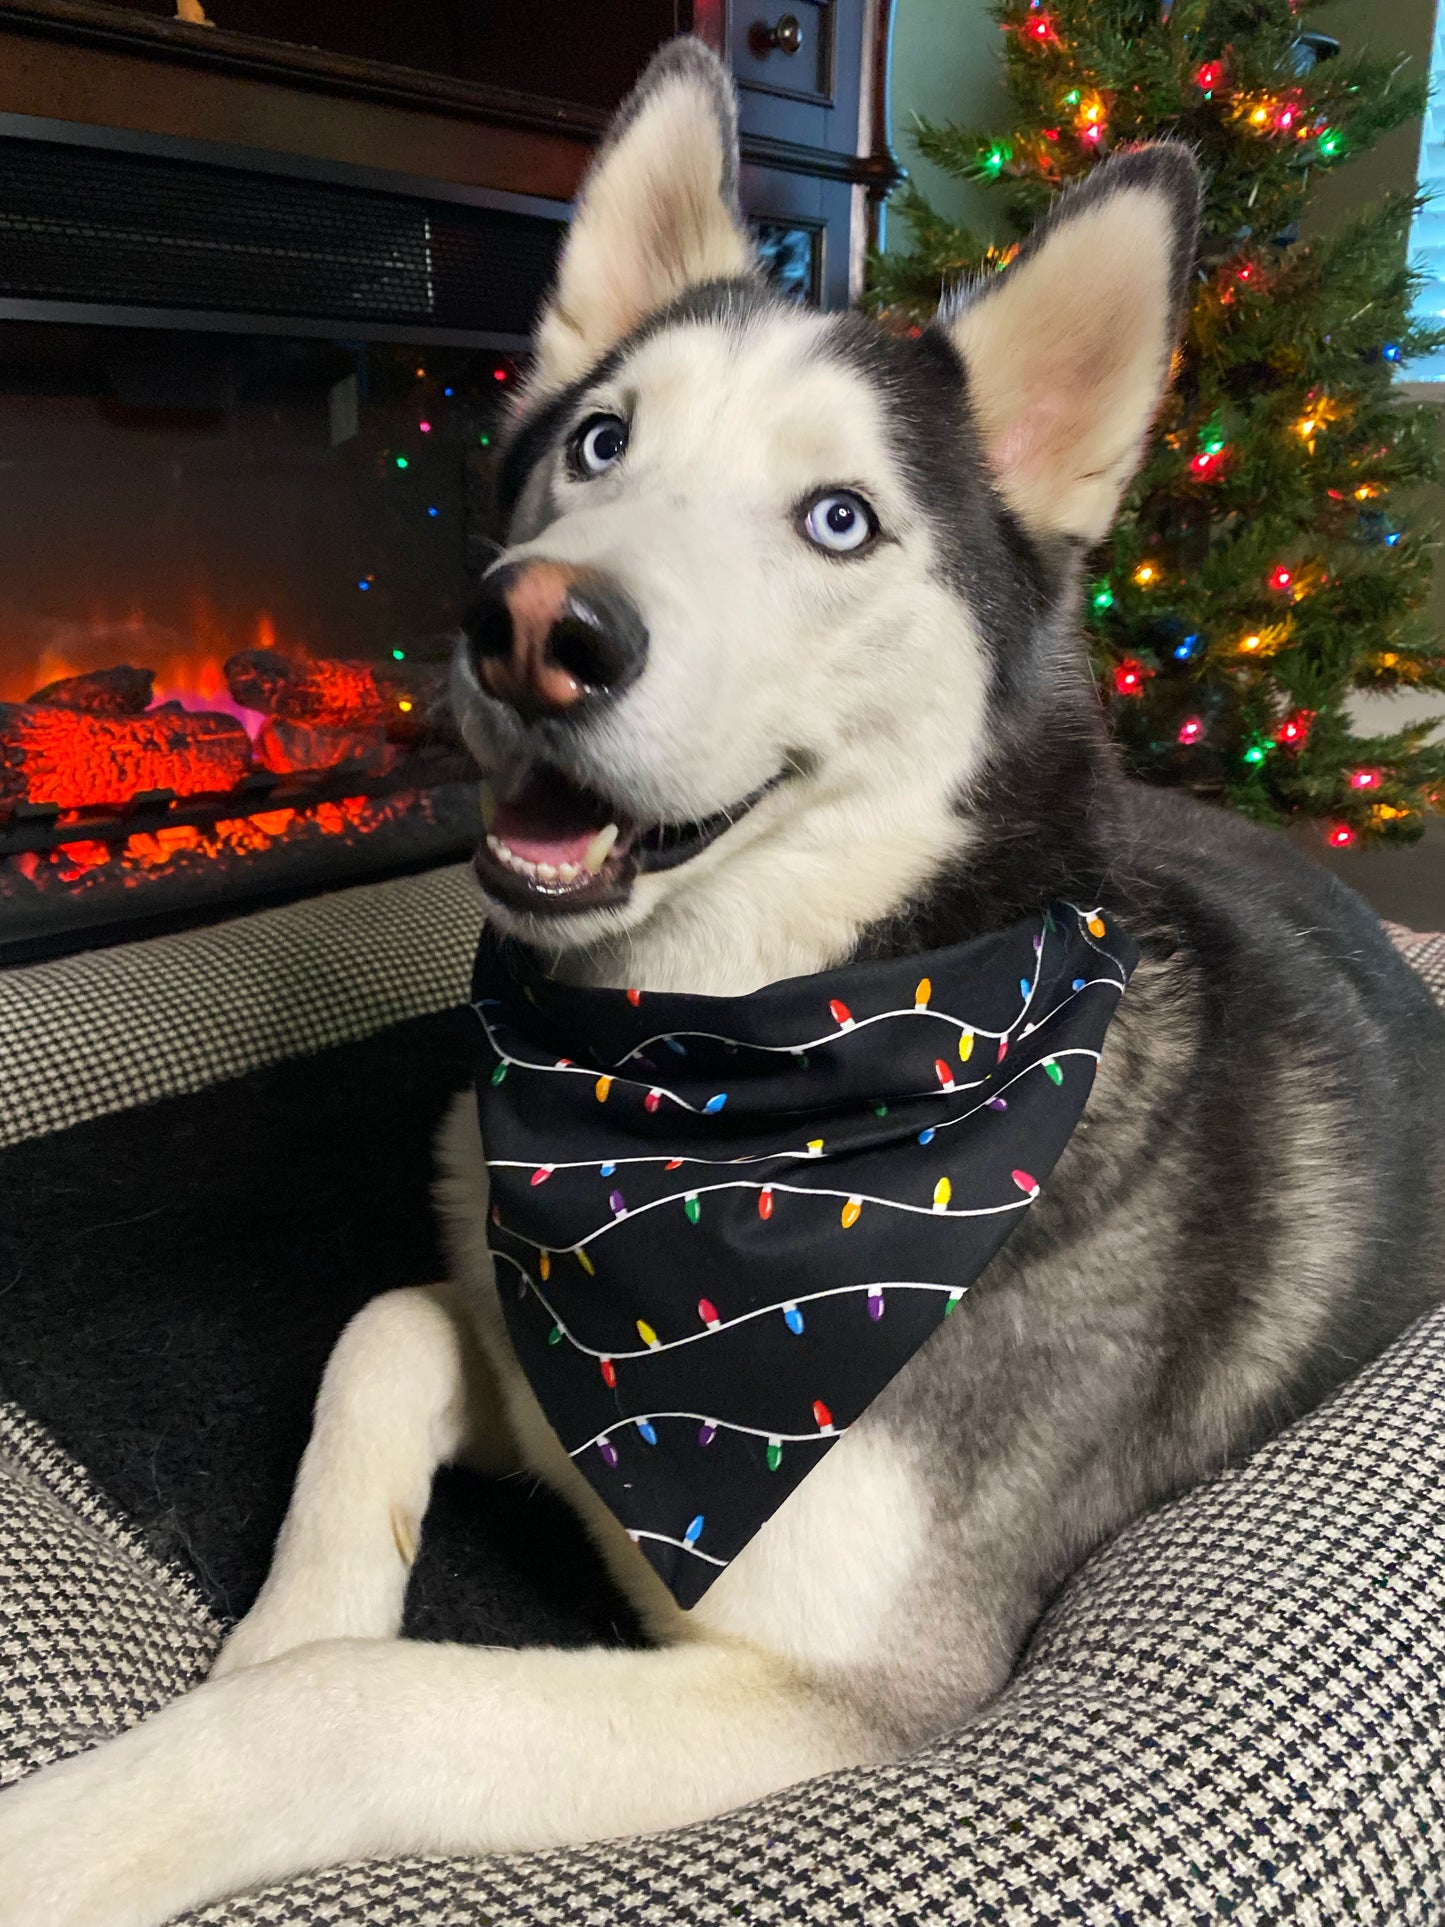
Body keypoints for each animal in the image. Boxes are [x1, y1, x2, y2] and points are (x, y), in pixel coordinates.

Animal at [2, 33, 1445, 1927]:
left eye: (838, 520)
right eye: (598, 443)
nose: (533, 626)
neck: (703, 1081)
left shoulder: (838, 1688)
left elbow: (347, 1707)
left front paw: (90, 1822)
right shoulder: (515, 1327)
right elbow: (383, 1328)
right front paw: (282, 1618)